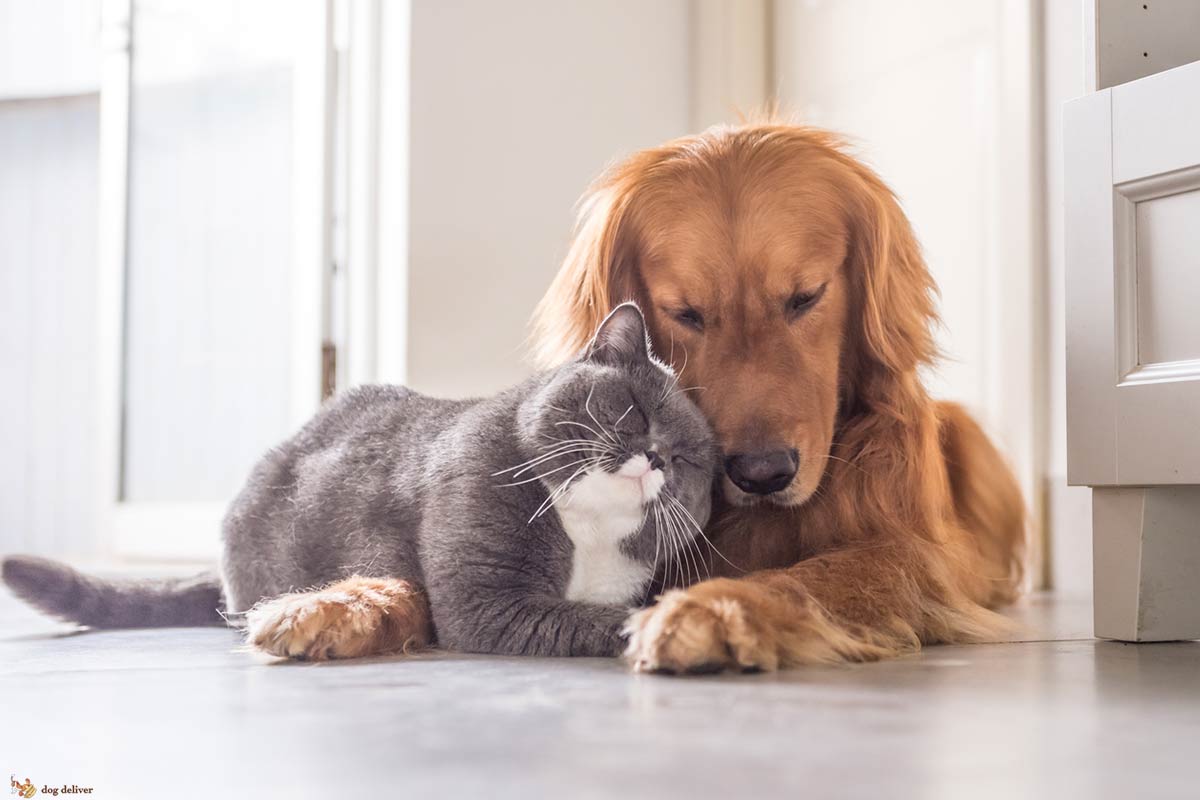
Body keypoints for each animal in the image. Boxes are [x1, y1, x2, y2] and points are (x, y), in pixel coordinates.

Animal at [4, 303, 715, 662]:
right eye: (633, 410)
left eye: (688, 460)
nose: (655, 456)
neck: (587, 533)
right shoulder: (485, 600)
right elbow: (592, 617)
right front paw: (660, 626)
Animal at [532, 122, 1022, 671]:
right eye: (686, 314)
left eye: (805, 297)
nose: (762, 474)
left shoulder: (911, 552)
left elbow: (812, 576)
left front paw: (714, 609)